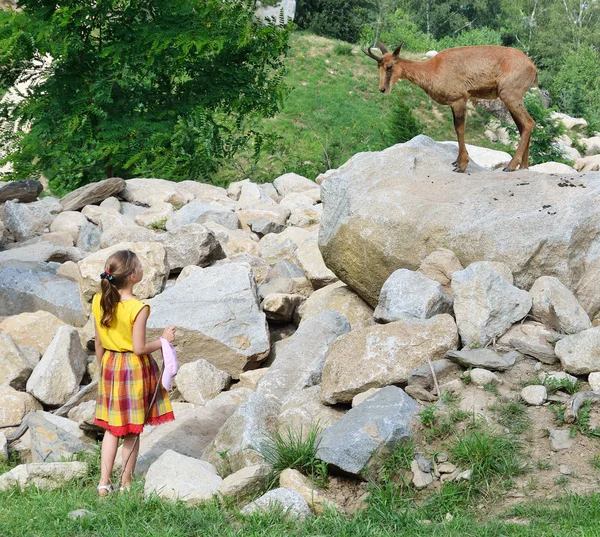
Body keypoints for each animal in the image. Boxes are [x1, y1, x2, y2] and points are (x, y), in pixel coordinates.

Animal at [366, 42, 540, 172]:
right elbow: (456, 128)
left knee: (528, 123)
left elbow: (459, 128)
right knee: (523, 126)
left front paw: (461, 165)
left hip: (509, 96)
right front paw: (457, 161)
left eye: (389, 67)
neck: (434, 68)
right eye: (378, 67)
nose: (382, 89)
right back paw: (523, 167)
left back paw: (510, 166)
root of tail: (532, 66)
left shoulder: (459, 100)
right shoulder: (453, 104)